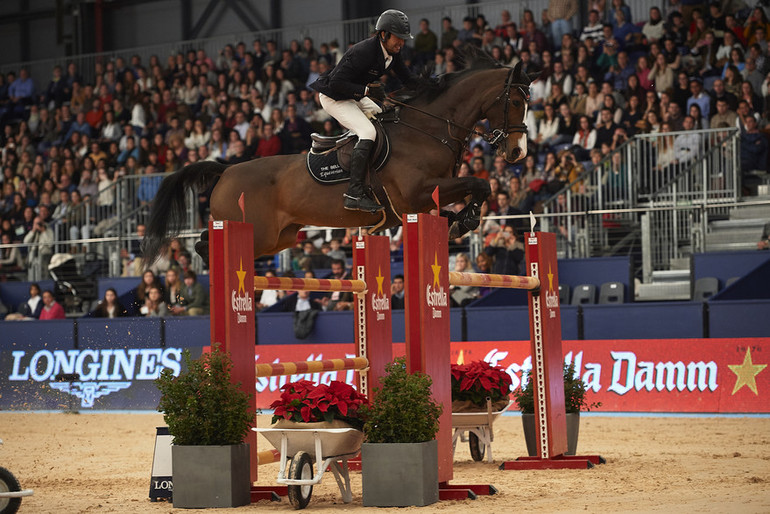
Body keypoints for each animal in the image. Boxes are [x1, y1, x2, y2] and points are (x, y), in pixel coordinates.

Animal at [140, 53, 536, 264]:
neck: (428, 128)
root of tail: (226, 169)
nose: (518, 152)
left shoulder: (425, 201)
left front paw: (461, 220)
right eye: (516, 101)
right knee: (204, 243)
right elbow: (479, 182)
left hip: (279, 238)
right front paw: (464, 219)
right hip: (255, 232)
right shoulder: (418, 194)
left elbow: (477, 188)